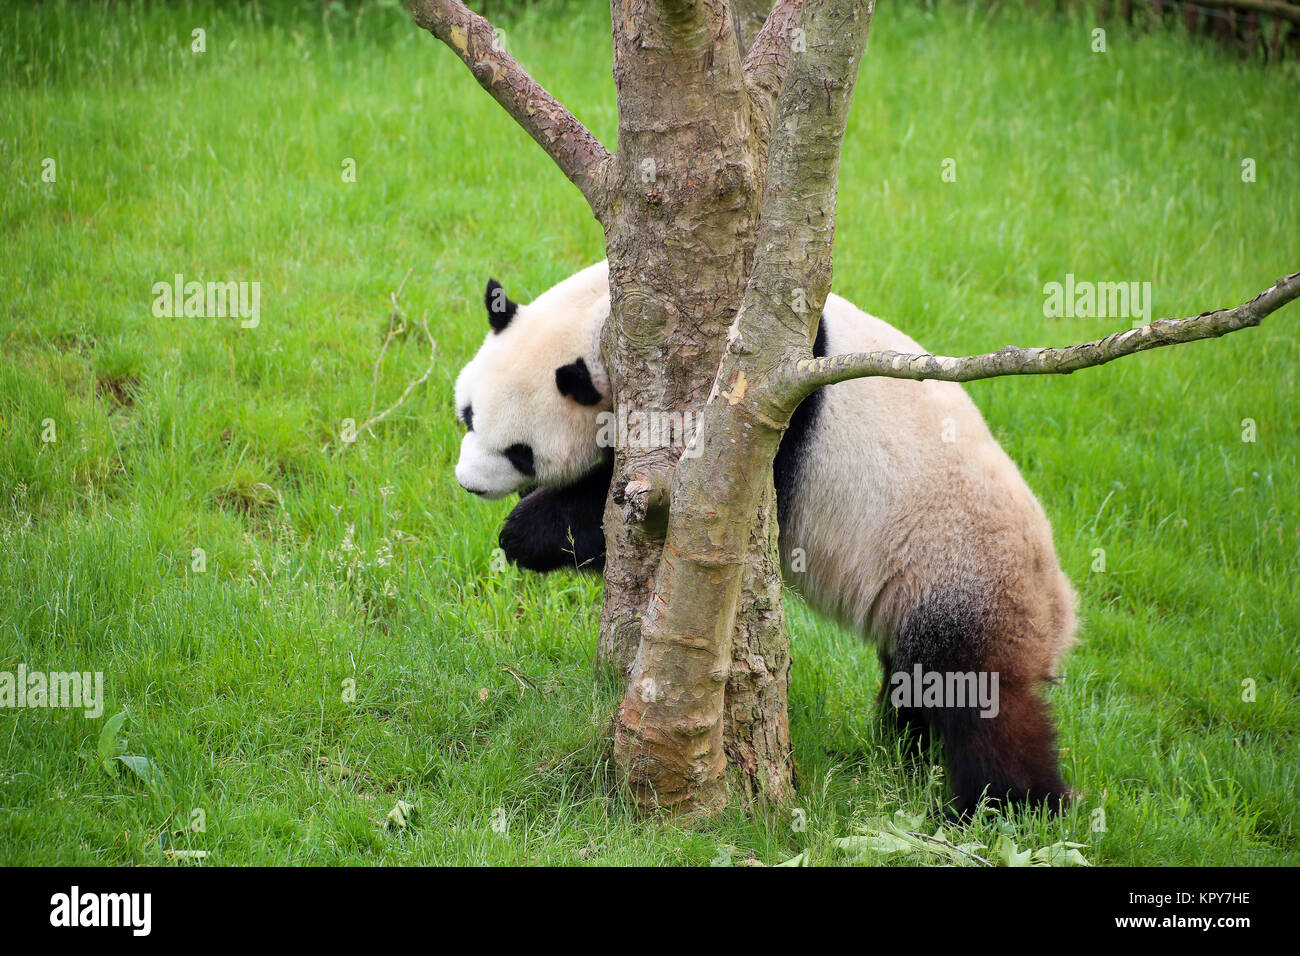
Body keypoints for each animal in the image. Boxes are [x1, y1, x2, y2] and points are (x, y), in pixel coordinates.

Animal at [454, 261, 1076, 816]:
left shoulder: (759, 405)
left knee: (979, 703)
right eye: (468, 415)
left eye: (518, 451)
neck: (600, 322)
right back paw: (903, 756)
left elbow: (648, 500)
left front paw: (526, 530)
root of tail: (1060, 611)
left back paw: (1010, 807)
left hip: (961, 573)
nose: (467, 484)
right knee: (914, 687)